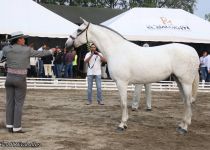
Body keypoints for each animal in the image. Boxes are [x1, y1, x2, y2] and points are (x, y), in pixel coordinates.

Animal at [65, 18, 199, 134]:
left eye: (79, 30)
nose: (67, 44)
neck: (116, 50)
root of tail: (193, 51)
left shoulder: (121, 83)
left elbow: (123, 103)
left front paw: (122, 125)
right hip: (179, 81)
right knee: (185, 102)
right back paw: (181, 125)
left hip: (185, 82)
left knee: (188, 101)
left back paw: (184, 128)